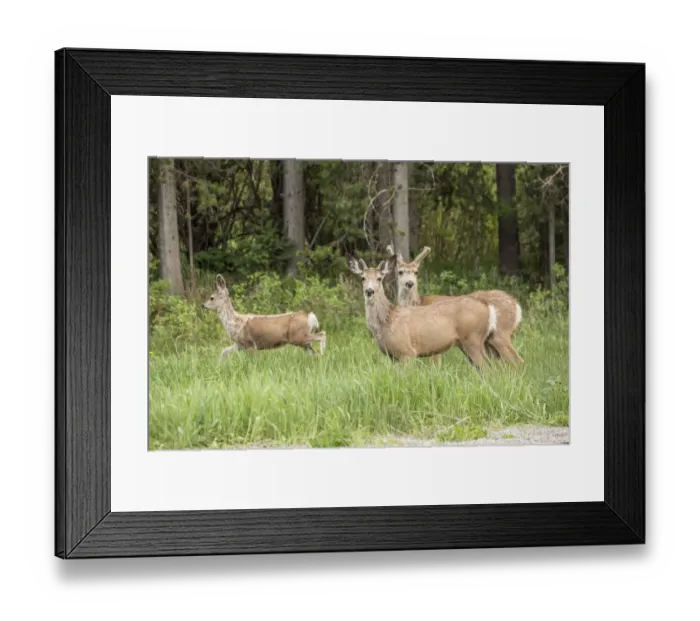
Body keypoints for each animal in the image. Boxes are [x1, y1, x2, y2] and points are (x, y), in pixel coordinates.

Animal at [346, 254, 497, 368]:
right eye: (363, 278)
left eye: (379, 278)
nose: (369, 291)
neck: (387, 321)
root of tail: (487, 307)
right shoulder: (392, 356)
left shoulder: (407, 352)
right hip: (470, 343)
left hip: (473, 338)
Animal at [386, 244, 524, 363]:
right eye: (400, 272)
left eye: (416, 272)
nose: (409, 283)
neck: (418, 303)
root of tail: (516, 305)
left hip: (500, 333)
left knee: (517, 360)